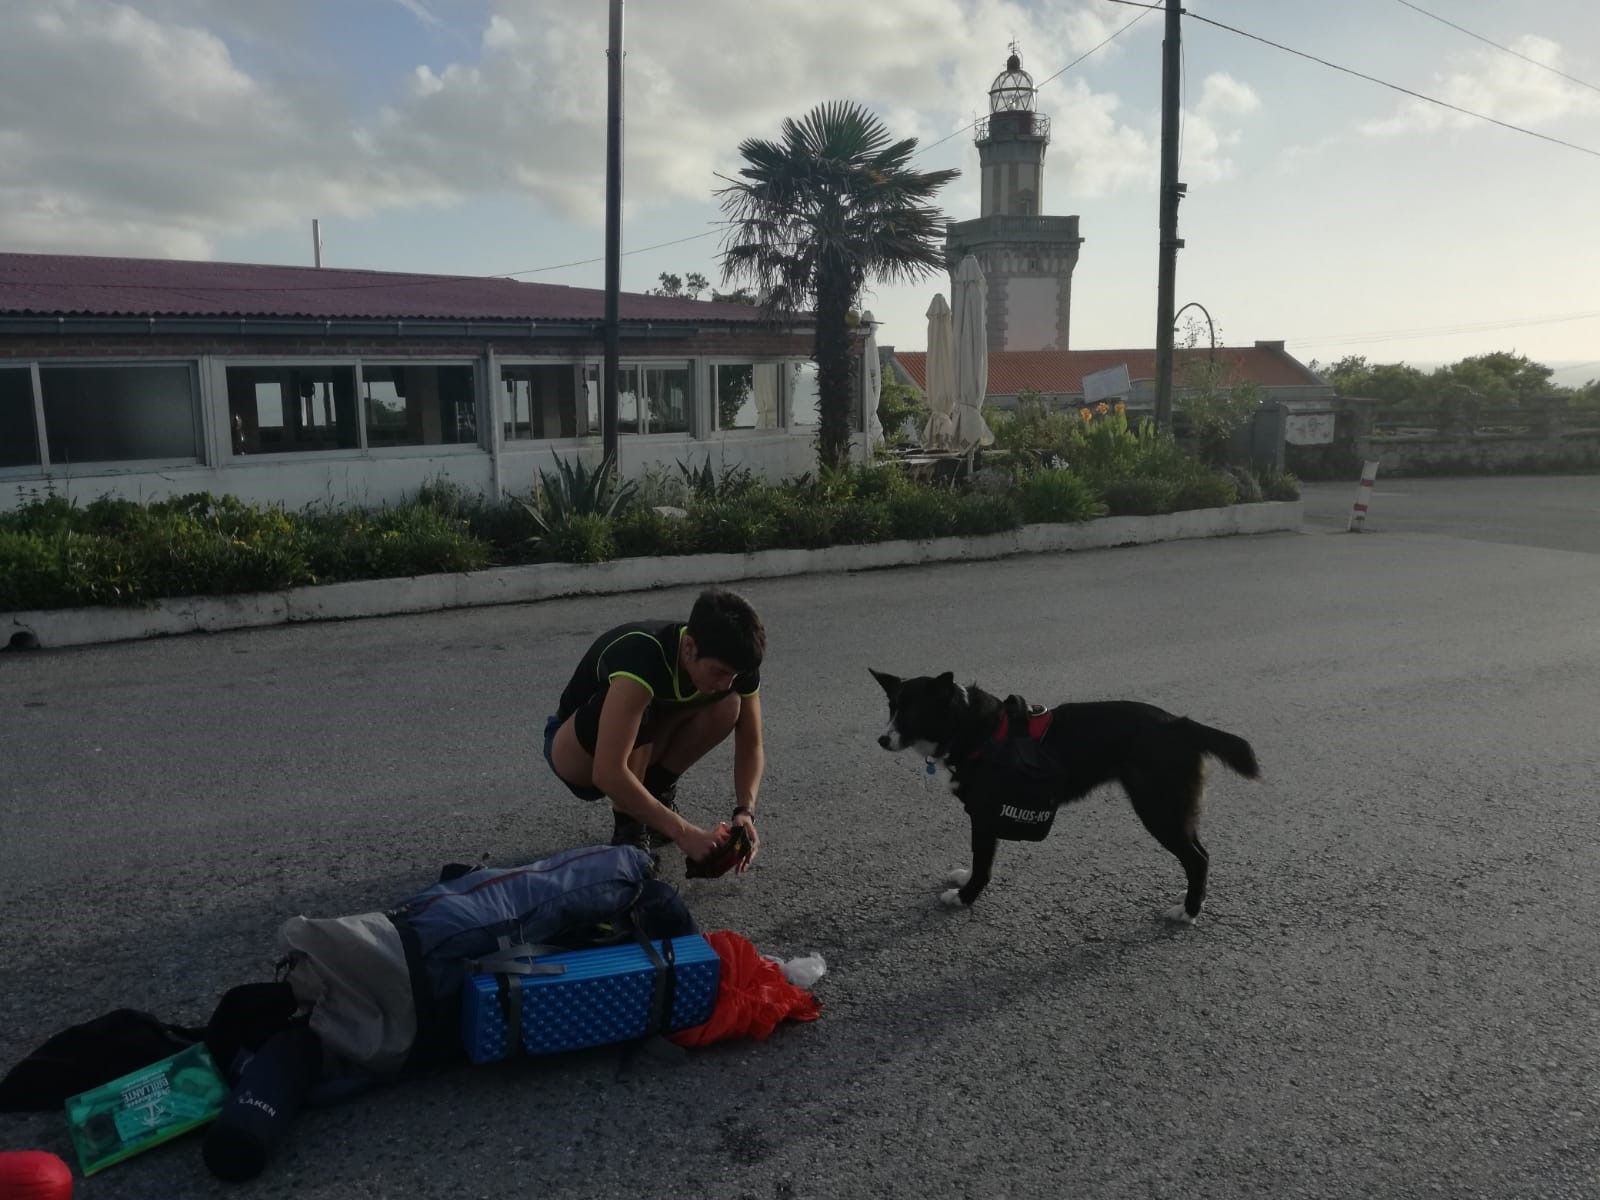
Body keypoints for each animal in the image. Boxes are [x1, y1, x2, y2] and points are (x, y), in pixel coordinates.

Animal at [870, 672, 1254, 928]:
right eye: (890, 707)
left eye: (912, 713)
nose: (882, 740)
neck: (972, 726)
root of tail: (1180, 724)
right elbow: (978, 860)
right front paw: (965, 880)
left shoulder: (984, 814)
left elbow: (983, 863)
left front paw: (965, 897)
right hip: (1173, 808)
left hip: (1159, 808)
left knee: (1197, 859)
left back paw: (1188, 911)